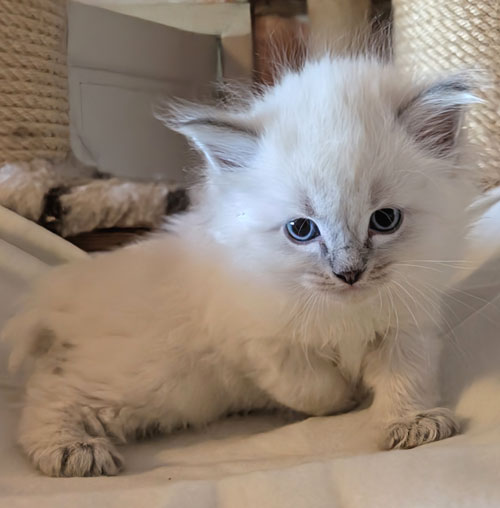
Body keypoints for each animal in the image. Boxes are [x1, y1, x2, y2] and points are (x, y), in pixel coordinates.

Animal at [2, 55, 480, 477]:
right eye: (302, 230)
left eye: (384, 221)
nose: (348, 275)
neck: (345, 315)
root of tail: (62, 289)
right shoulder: (257, 341)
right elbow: (315, 389)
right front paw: (347, 397)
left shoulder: (407, 327)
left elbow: (407, 379)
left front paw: (412, 423)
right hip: (137, 381)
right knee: (46, 395)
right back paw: (73, 452)